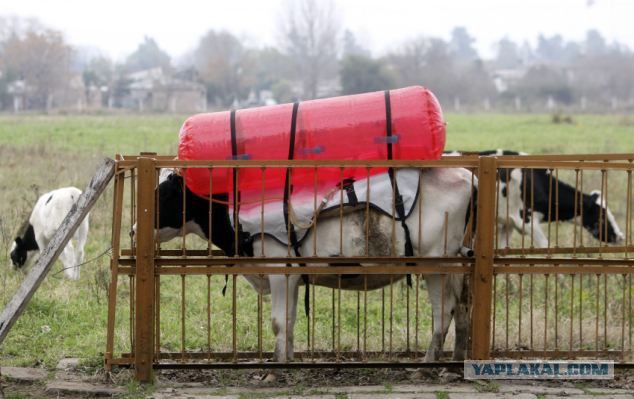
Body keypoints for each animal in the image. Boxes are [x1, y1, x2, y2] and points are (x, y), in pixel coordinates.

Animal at [151, 167, 472, 364]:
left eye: (165, 193)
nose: (138, 226)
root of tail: (466, 175)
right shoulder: (293, 276)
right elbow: (290, 322)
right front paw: (288, 359)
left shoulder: (280, 272)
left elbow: (279, 322)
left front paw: (276, 367)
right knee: (462, 308)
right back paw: (456, 359)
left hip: (437, 265)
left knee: (443, 313)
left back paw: (428, 362)